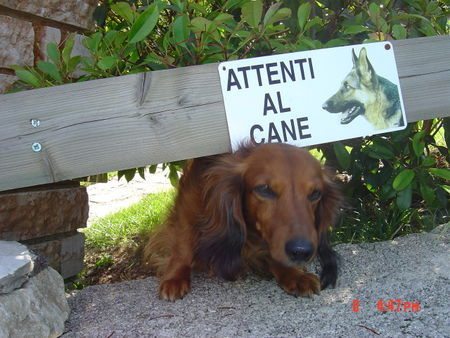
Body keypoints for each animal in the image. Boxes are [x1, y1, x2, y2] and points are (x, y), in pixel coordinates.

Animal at [144, 143, 342, 302]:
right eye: (264, 189)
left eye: (315, 193)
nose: (301, 251)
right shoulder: (187, 203)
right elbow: (182, 245)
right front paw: (175, 278)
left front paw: (293, 273)